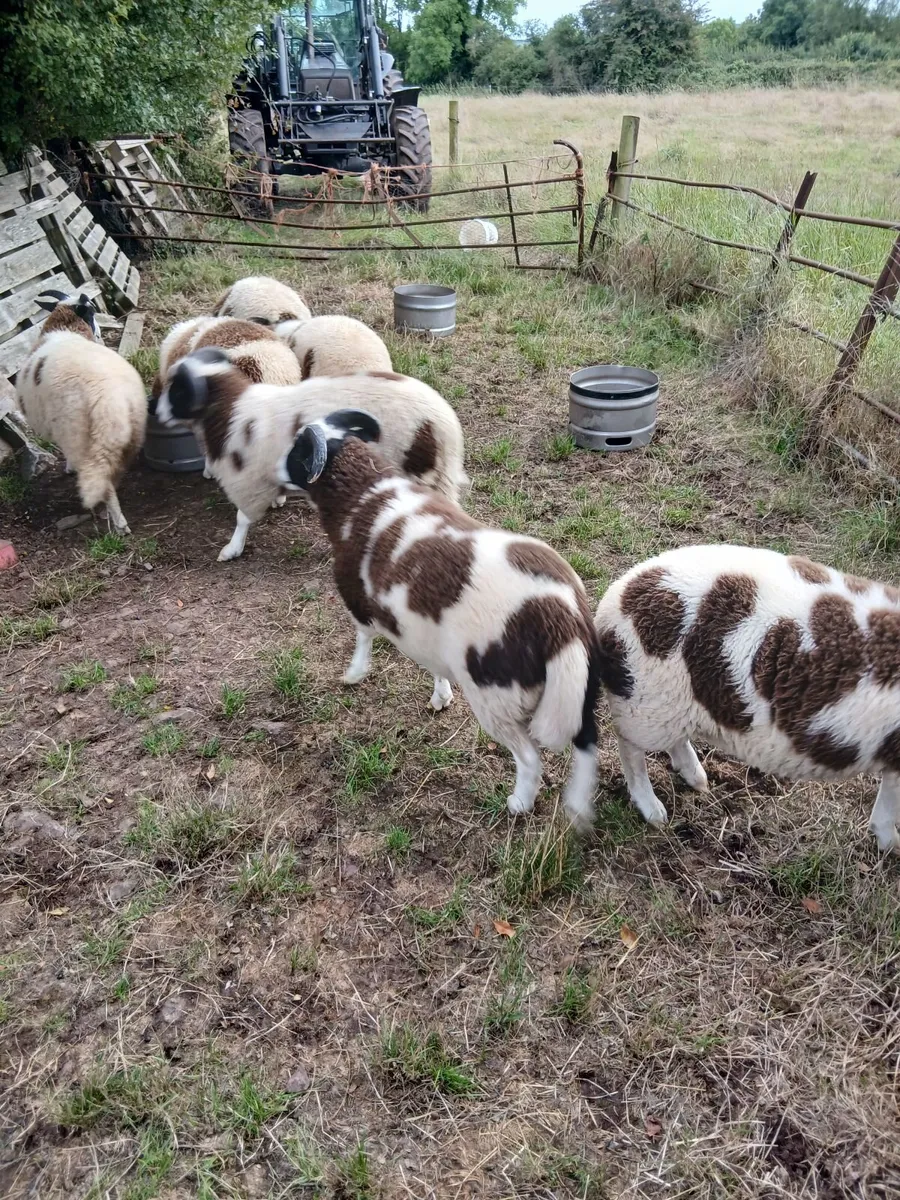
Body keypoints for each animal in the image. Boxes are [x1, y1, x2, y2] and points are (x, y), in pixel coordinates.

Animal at [15, 291, 146, 533]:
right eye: (93, 311)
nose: (100, 335)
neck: (66, 328)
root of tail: (103, 394)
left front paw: (68, 467)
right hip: (131, 419)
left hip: (77, 434)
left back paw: (119, 524)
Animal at [154, 349, 466, 563]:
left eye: (179, 390)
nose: (156, 413)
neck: (232, 412)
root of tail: (447, 424)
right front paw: (279, 501)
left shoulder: (249, 481)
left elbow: (242, 519)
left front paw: (232, 549)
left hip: (420, 473)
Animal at [276, 410, 603, 829]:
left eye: (297, 450)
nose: (274, 472)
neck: (363, 495)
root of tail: (558, 617)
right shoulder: (425, 630)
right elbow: (431, 663)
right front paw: (441, 696)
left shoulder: (357, 598)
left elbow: (363, 636)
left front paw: (355, 673)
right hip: (582, 683)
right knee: (587, 741)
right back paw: (578, 809)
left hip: (495, 698)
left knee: (530, 759)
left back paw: (519, 803)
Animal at [593, 544, 900, 851]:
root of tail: (620, 591)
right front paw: (890, 844)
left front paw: (887, 842)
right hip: (644, 702)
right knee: (631, 750)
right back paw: (654, 810)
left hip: (667, 701)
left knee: (673, 740)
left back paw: (698, 779)